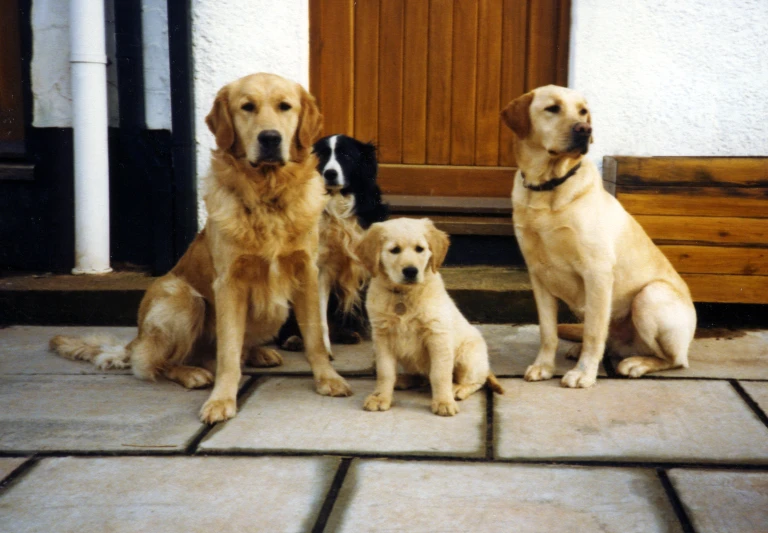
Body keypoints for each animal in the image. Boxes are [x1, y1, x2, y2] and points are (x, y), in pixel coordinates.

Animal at [52, 74, 352, 420]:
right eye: (247, 107)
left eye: (285, 106)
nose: (270, 138)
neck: (267, 194)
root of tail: (137, 339)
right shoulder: (229, 283)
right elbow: (228, 352)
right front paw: (221, 399)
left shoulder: (306, 273)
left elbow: (315, 337)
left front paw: (328, 379)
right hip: (182, 298)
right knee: (157, 363)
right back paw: (192, 373)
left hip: (273, 311)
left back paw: (259, 354)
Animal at [358, 217, 504, 416]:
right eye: (394, 250)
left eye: (420, 249)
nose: (411, 271)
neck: (404, 294)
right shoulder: (382, 336)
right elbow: (385, 372)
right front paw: (380, 397)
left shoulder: (437, 334)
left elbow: (439, 374)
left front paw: (443, 402)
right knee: (420, 376)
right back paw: (403, 380)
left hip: (468, 357)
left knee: (476, 381)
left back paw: (457, 389)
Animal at [500, 86, 700, 386]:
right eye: (552, 108)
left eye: (583, 111)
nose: (585, 129)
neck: (548, 187)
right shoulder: (538, 275)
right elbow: (548, 331)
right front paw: (544, 366)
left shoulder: (597, 272)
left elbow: (594, 332)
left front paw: (583, 374)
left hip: (650, 295)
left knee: (674, 360)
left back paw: (637, 363)